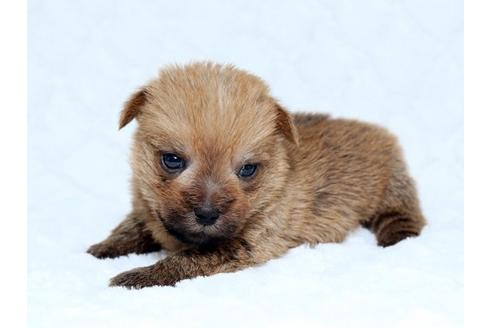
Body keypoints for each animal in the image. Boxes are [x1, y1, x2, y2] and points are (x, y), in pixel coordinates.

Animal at [86, 61, 424, 288]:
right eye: (172, 160)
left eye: (247, 169)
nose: (206, 214)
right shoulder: (145, 205)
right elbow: (132, 226)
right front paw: (104, 248)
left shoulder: (249, 241)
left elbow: (187, 259)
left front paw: (138, 276)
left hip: (393, 183)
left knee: (404, 212)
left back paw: (398, 237)